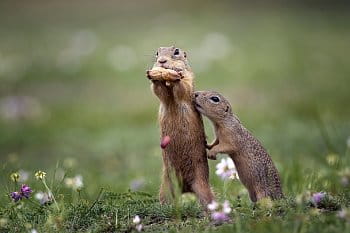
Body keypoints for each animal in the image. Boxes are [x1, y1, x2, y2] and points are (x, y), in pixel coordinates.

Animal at [146, 46, 215, 207]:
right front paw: (156, 76)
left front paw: (175, 76)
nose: (161, 61)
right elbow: (159, 91)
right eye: (157, 53)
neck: (168, 84)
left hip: (202, 184)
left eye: (176, 51)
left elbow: (183, 87)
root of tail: (186, 188)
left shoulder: (189, 78)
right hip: (166, 186)